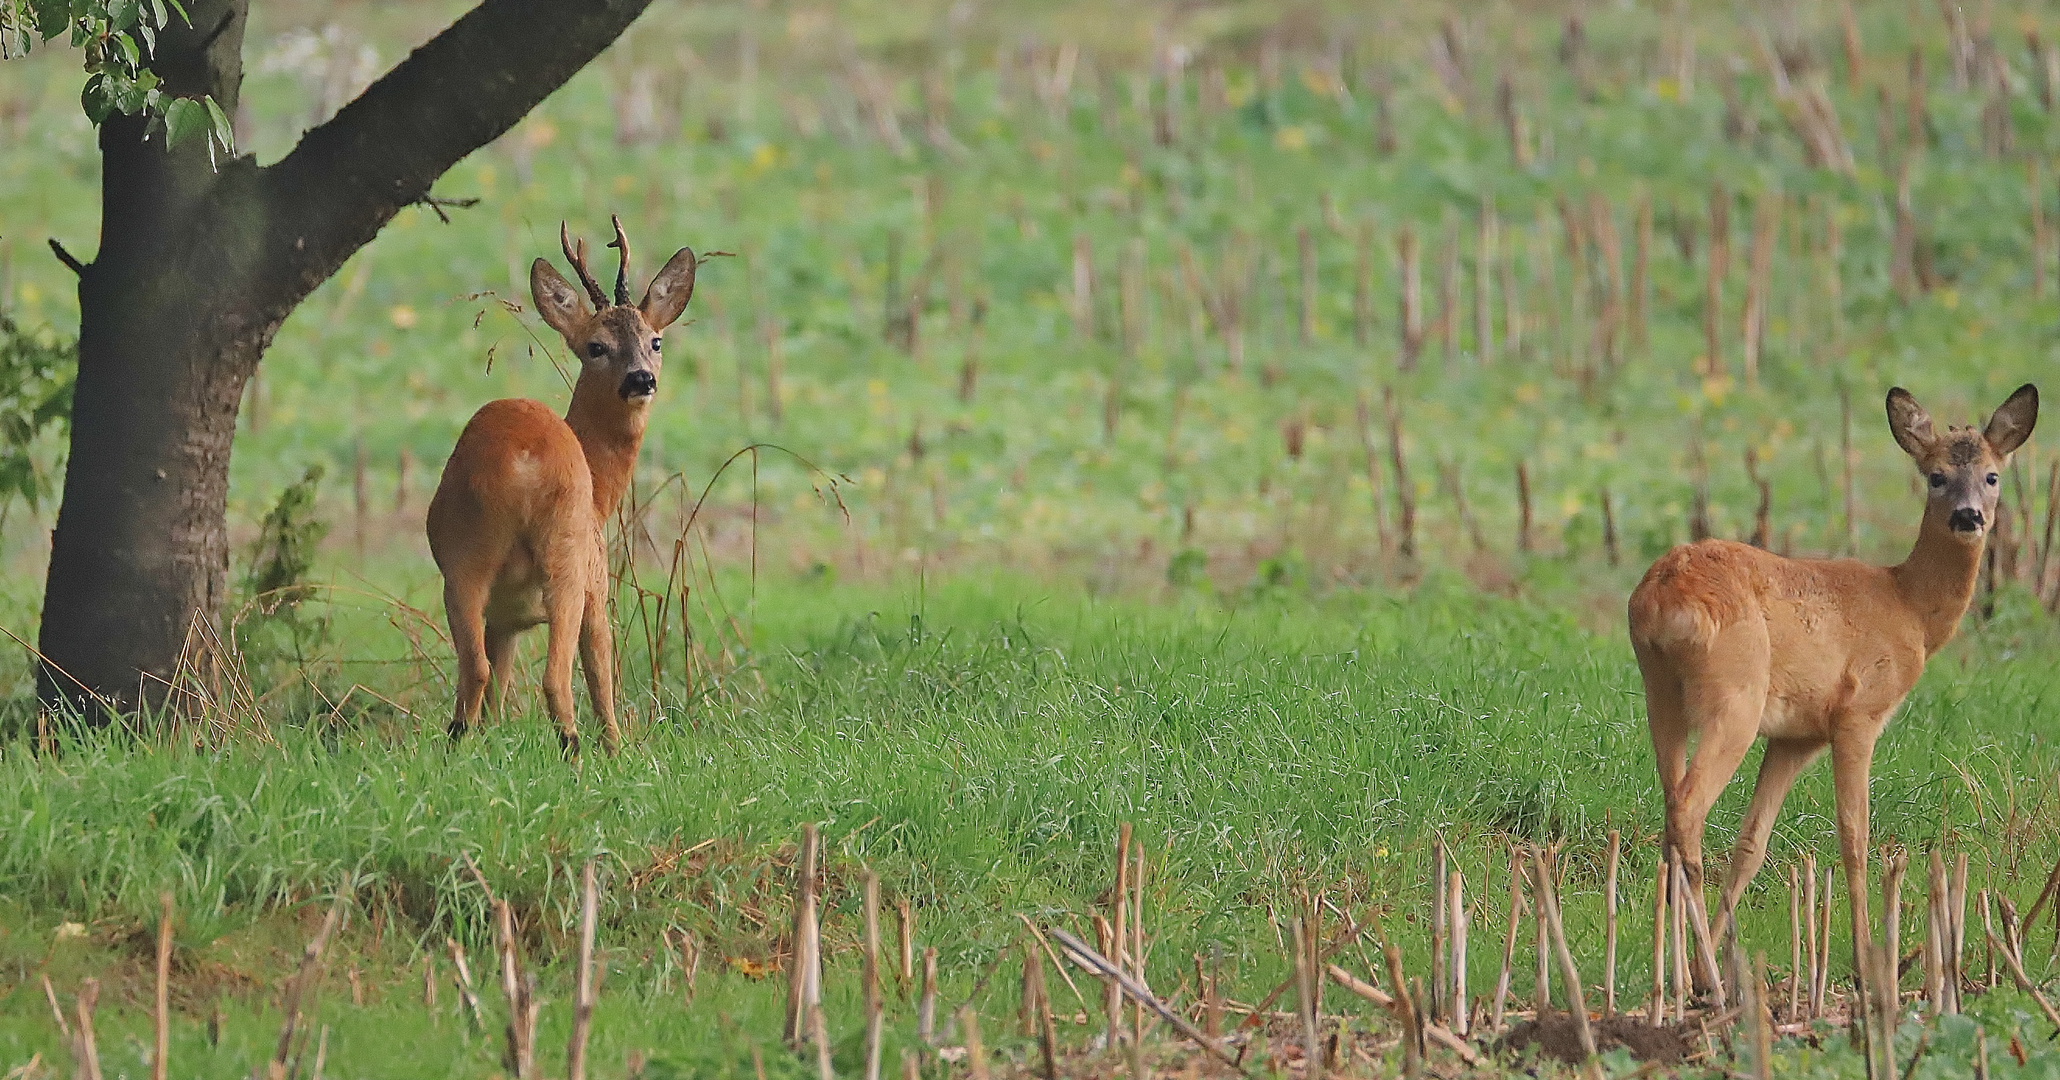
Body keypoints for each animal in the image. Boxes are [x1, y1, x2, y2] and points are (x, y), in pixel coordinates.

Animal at [424, 217, 700, 758]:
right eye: (596, 346)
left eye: (655, 341)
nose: (641, 378)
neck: (602, 488)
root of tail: (520, 460)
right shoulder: (598, 580)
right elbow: (601, 674)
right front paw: (617, 749)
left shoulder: (506, 616)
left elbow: (499, 682)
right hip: (567, 556)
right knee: (556, 678)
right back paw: (576, 752)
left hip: (464, 557)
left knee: (477, 669)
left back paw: (457, 747)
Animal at [1631, 383, 2035, 981]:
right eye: (1935, 476)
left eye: (1991, 475)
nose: (1969, 516)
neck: (1910, 609)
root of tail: (1662, 594)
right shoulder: (1858, 713)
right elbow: (1854, 836)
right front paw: (1869, 959)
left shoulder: (1796, 737)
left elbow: (1752, 842)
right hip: (1735, 695)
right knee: (1688, 808)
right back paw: (1702, 969)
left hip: (1660, 692)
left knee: (1669, 808)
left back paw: (1679, 971)